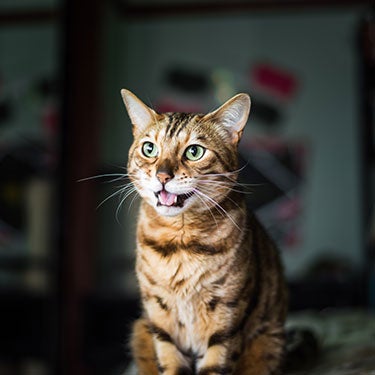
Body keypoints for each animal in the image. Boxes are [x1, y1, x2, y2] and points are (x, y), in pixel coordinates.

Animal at [120, 89, 288, 375]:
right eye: (149, 148)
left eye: (194, 152)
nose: (162, 175)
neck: (180, 243)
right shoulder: (159, 316)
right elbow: (169, 361)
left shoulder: (227, 315)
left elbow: (215, 364)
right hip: (140, 329)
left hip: (269, 341)